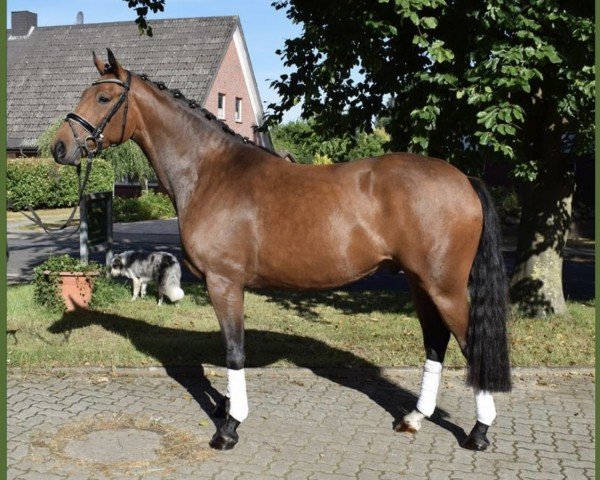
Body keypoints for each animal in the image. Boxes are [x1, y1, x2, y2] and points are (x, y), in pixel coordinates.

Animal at [52, 50, 510, 452]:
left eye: (104, 98)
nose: (59, 147)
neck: (210, 173)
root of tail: (464, 179)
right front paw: (225, 408)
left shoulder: (224, 282)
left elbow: (234, 351)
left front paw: (229, 428)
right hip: (421, 284)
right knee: (435, 342)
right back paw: (414, 418)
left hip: (445, 288)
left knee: (469, 345)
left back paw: (479, 433)